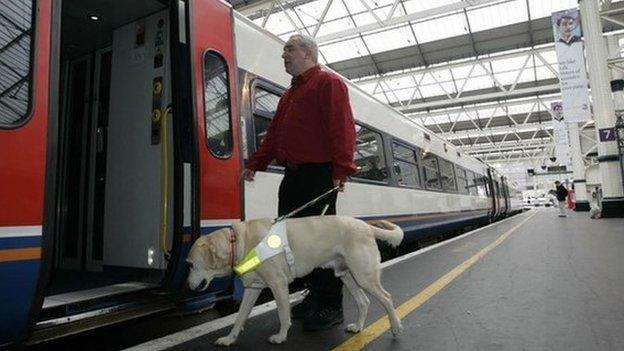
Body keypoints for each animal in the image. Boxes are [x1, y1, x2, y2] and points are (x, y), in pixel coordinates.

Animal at [185, 216, 404, 346]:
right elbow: (240, 317)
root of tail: (365, 225)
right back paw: (358, 327)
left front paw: (281, 337)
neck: (240, 241)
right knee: (364, 301)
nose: (188, 286)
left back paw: (395, 327)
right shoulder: (252, 289)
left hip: (364, 276)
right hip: (347, 276)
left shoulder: (278, 284)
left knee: (387, 297)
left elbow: (283, 315)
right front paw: (229, 339)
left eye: (191, 265)